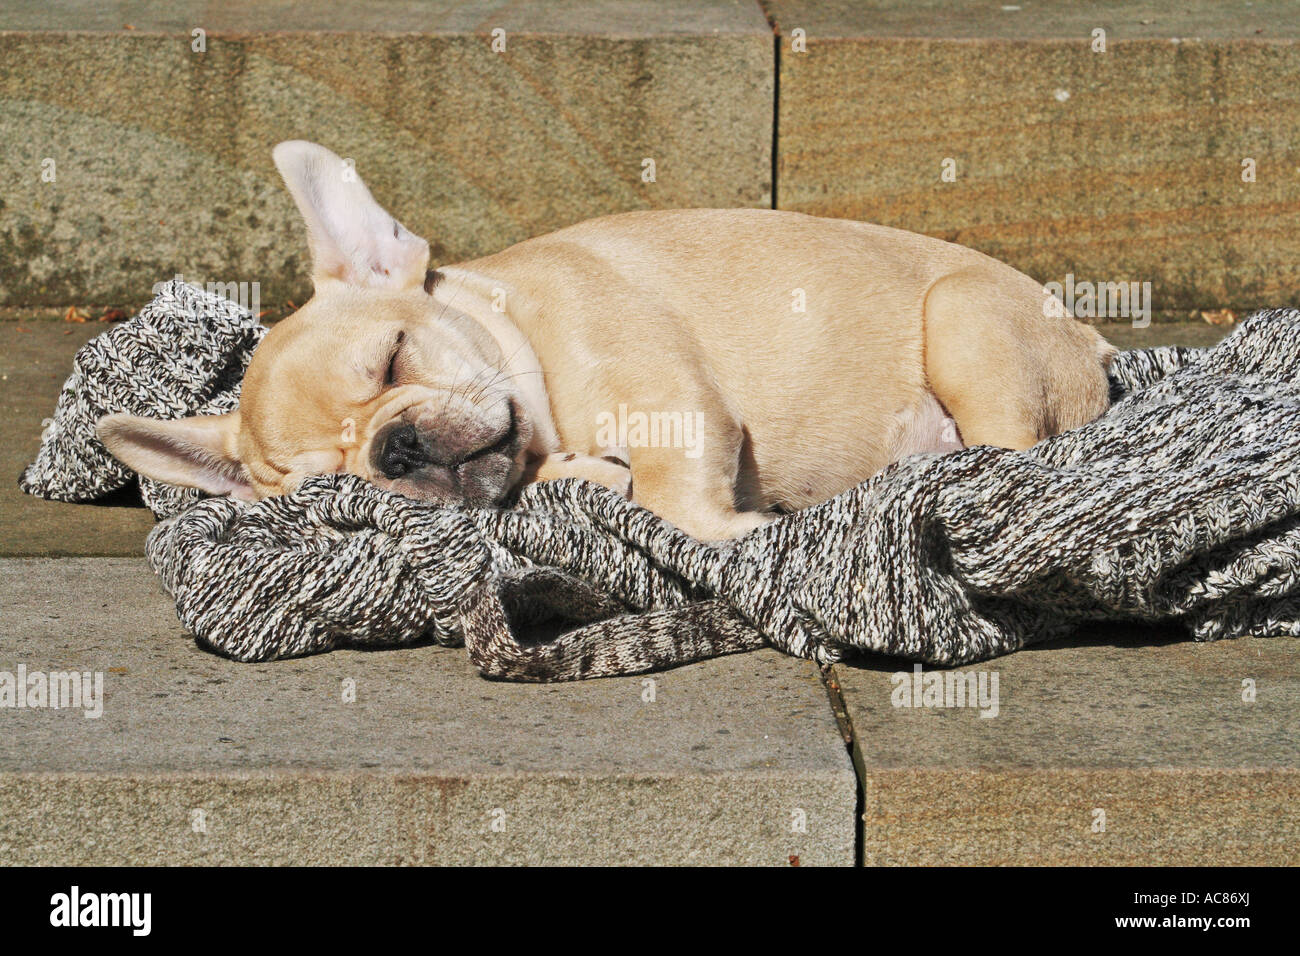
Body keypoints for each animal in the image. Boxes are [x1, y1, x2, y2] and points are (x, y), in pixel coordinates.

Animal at [98, 139, 1118, 541]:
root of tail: (1095, 348)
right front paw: (587, 478)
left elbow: (672, 495)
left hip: (962, 318)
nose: (396, 446)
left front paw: (734, 531)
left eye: (391, 359)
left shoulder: (675, 403)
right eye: (330, 488)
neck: (530, 348)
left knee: (1011, 458)